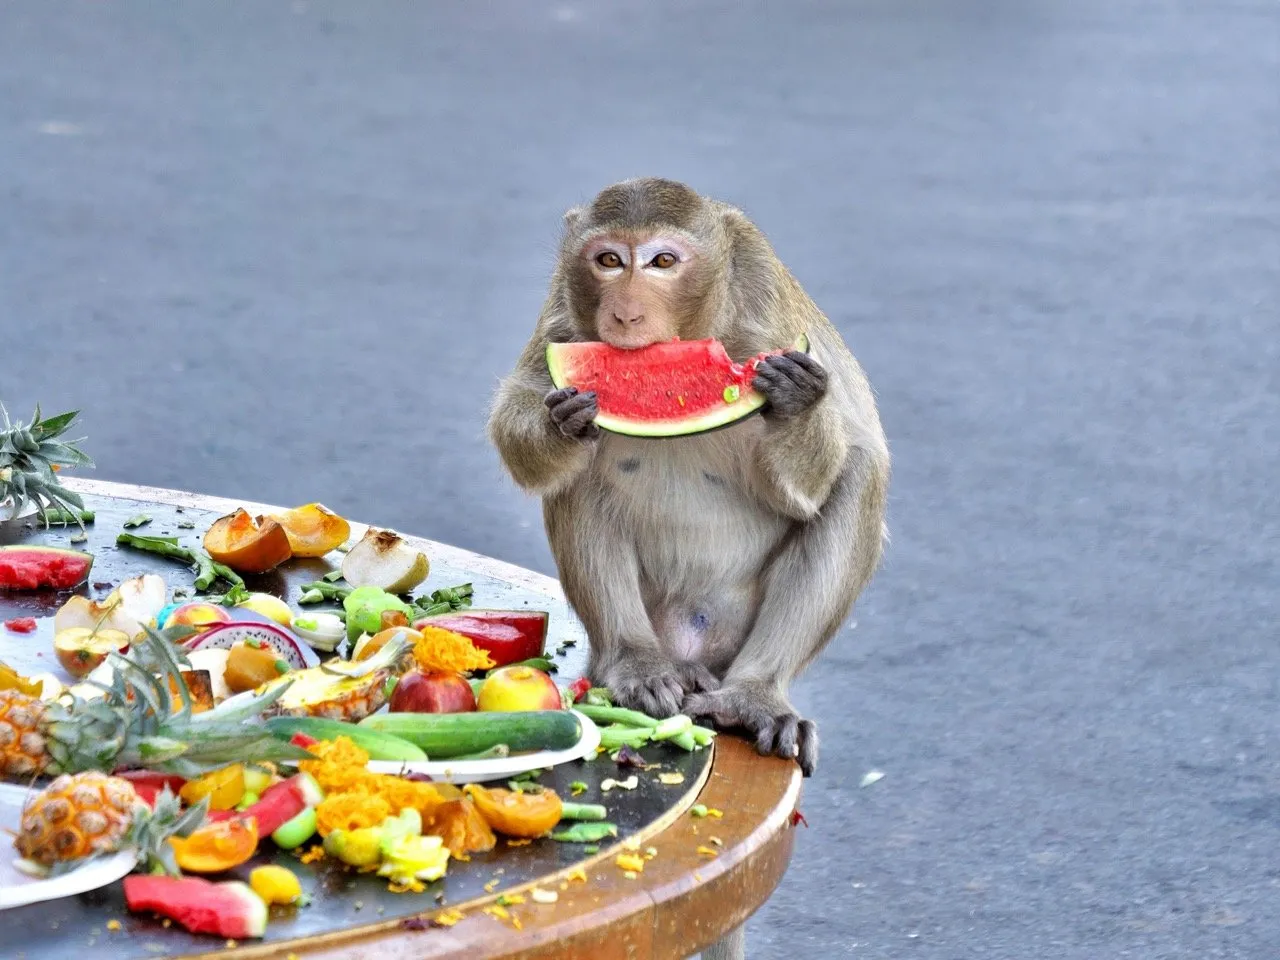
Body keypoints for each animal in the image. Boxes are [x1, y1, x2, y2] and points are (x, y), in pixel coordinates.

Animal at [487, 178, 889, 780]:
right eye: (609, 260)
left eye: (662, 262)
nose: (625, 314)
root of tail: (692, 648)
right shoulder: (564, 310)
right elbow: (519, 415)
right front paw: (559, 423)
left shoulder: (767, 308)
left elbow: (816, 483)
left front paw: (796, 404)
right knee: (578, 479)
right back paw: (634, 663)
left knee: (859, 474)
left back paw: (753, 695)